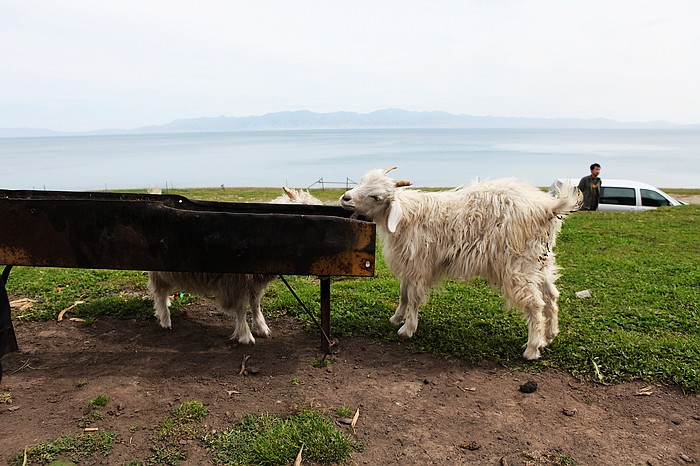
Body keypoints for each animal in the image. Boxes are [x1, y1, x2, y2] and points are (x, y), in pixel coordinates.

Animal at [149, 187, 324, 344]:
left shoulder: (254, 281)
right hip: (159, 270)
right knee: (159, 294)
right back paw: (165, 319)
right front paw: (245, 335)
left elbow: (255, 303)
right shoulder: (236, 281)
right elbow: (241, 307)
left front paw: (261, 327)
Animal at [340, 167, 580, 360]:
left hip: (518, 266)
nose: (345, 198)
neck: (407, 217)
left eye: (376, 196)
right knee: (551, 295)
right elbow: (403, 294)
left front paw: (407, 328)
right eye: (362, 180)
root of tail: (547, 208)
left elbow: (414, 297)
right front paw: (396, 318)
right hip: (540, 262)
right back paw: (549, 335)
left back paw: (532, 349)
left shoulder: (420, 265)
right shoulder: (410, 265)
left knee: (535, 303)